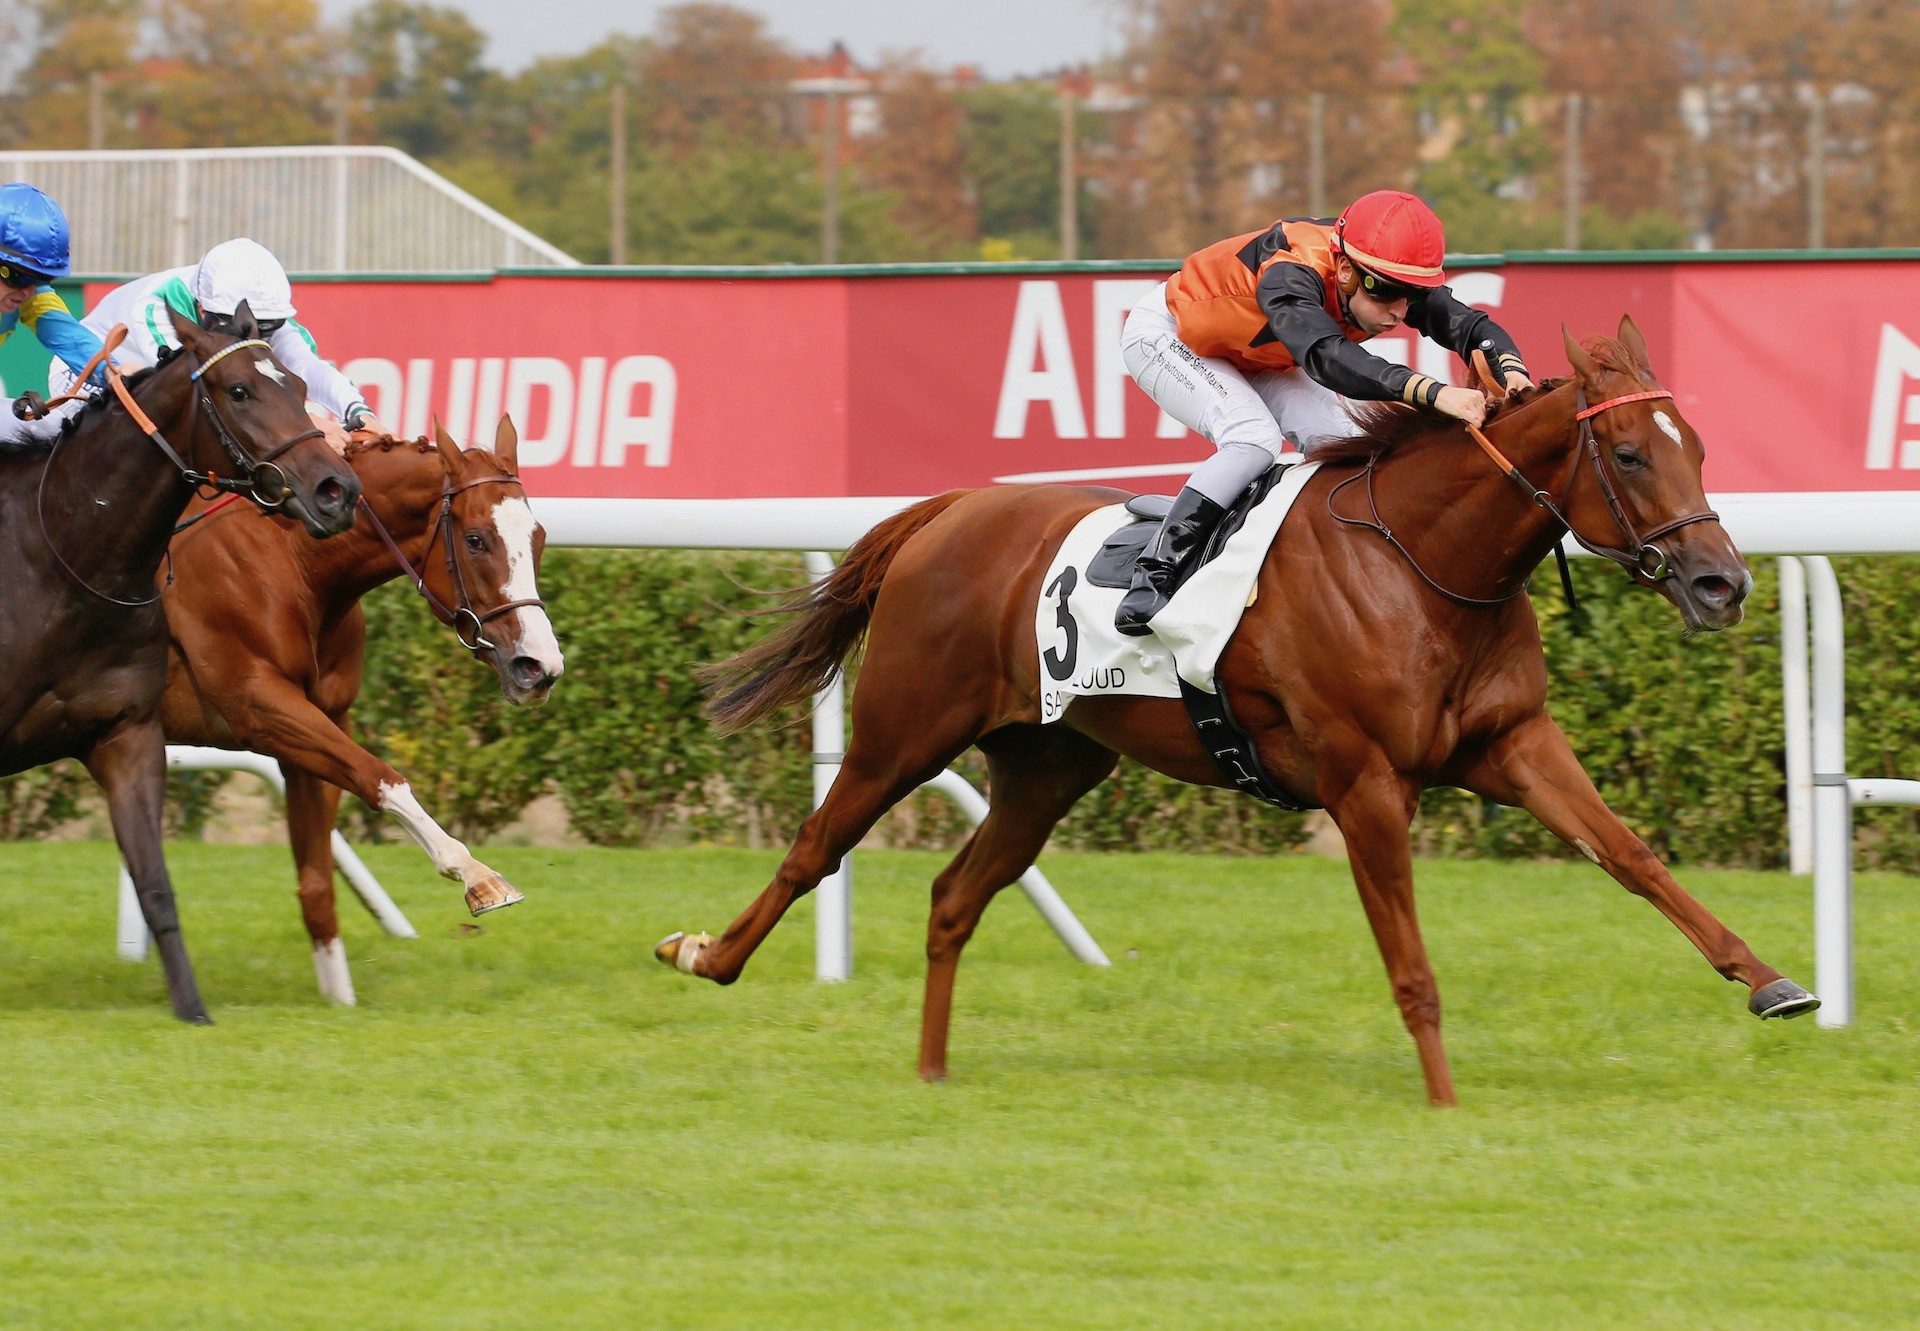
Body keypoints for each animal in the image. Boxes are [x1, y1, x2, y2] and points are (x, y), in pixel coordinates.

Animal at [0, 305, 360, 1021]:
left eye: (297, 387)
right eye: (239, 392)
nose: (337, 489)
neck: (62, 559)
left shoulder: (126, 733)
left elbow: (157, 883)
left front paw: (192, 1009)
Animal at [161, 414, 560, 998]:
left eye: (539, 537)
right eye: (476, 539)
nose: (540, 667)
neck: (292, 564)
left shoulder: (319, 721)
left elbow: (316, 881)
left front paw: (338, 1000)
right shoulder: (260, 706)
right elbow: (382, 777)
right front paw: (478, 877)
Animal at [668, 318, 1820, 1098]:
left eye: (1697, 445)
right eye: (1628, 453)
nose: (1723, 584)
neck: (1425, 562)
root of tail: (949, 511)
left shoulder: (1514, 743)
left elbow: (1631, 855)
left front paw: (1771, 980)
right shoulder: (1364, 782)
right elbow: (1410, 958)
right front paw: (1444, 1097)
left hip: (1048, 763)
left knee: (955, 894)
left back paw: (933, 1067)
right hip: (903, 731)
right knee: (815, 845)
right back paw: (705, 956)